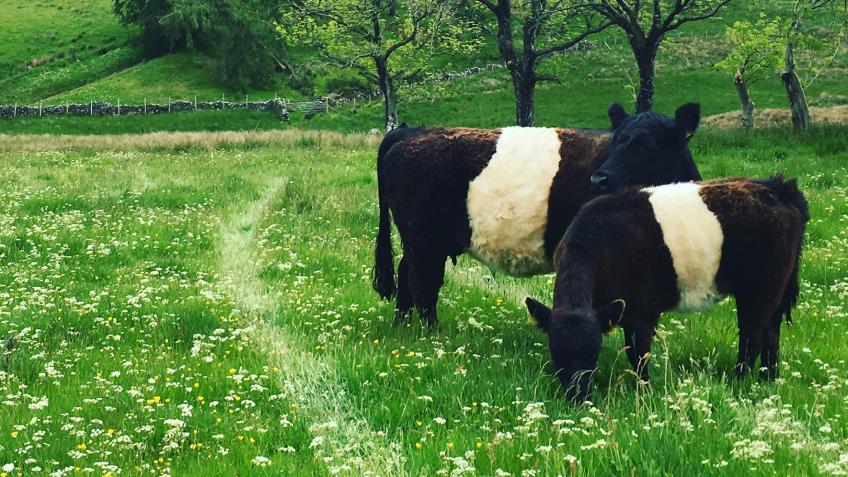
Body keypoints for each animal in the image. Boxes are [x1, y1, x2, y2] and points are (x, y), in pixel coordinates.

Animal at [372, 102, 703, 327]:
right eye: (617, 140)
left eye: (647, 145)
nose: (599, 179)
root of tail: (411, 131)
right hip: (423, 239)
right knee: (422, 282)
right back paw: (430, 333)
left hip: (421, 241)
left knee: (406, 274)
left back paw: (403, 326)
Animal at [525, 177, 809, 401]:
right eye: (556, 351)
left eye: (595, 351)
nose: (578, 396)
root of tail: (778, 187)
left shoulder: (643, 311)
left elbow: (639, 354)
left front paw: (646, 390)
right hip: (774, 290)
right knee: (771, 333)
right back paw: (768, 379)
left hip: (760, 291)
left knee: (753, 337)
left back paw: (740, 380)